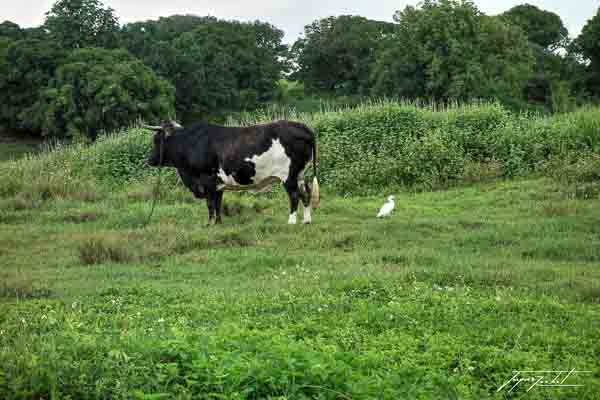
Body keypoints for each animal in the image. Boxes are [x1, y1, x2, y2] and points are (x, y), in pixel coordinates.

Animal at [145, 119, 318, 225]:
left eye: (156, 140)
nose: (150, 160)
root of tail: (302, 127)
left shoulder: (207, 179)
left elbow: (210, 203)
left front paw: (209, 223)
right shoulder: (218, 183)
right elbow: (218, 203)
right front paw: (218, 223)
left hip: (289, 176)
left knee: (295, 196)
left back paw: (291, 221)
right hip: (300, 174)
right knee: (306, 193)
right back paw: (307, 220)